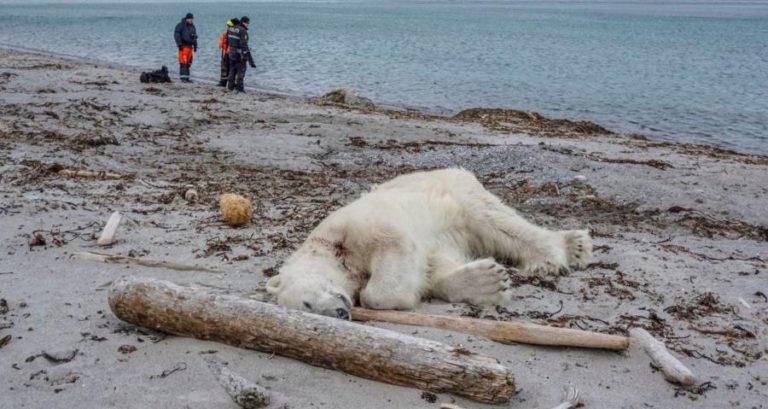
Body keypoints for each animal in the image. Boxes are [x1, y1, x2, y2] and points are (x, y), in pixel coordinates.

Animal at [266, 168, 592, 320]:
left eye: (307, 303)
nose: (340, 313)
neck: (331, 249)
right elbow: (433, 268)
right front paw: (488, 282)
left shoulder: (354, 227)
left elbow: (391, 251)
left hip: (457, 192)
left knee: (496, 221)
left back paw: (562, 251)